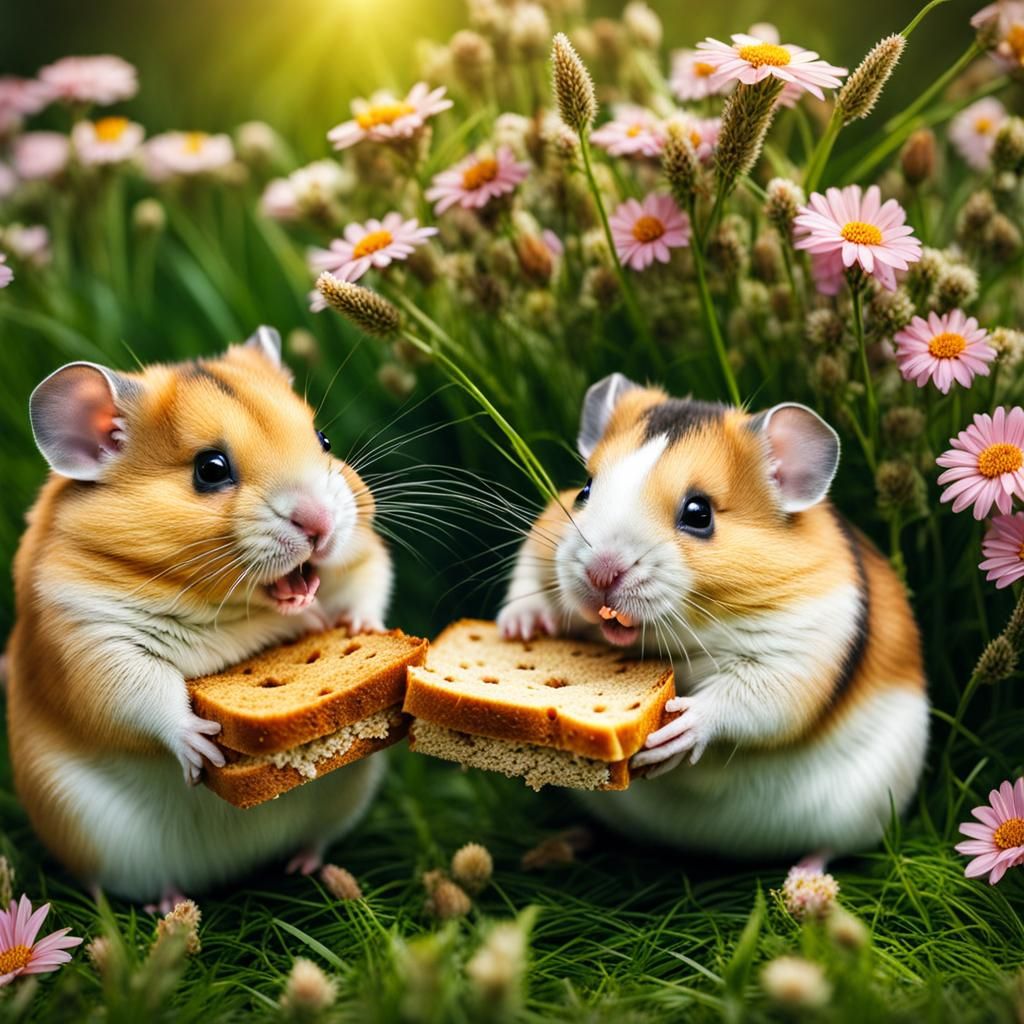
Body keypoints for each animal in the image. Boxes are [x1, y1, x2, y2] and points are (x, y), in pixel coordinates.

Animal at [7, 327, 393, 906]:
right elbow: (149, 695)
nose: (320, 526)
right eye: (210, 470)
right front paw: (203, 748)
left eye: (323, 439)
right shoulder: (93, 642)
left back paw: (305, 866)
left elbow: (370, 584)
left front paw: (360, 630)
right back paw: (172, 905)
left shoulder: (365, 552)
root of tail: (237, 867)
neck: (235, 606)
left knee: (316, 839)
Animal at [498, 373, 929, 859]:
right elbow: (527, 583)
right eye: (585, 490)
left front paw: (676, 731)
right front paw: (519, 627)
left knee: (833, 848)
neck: (682, 633)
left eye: (698, 513)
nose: (599, 572)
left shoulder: (797, 657)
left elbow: (740, 699)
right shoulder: (539, 546)